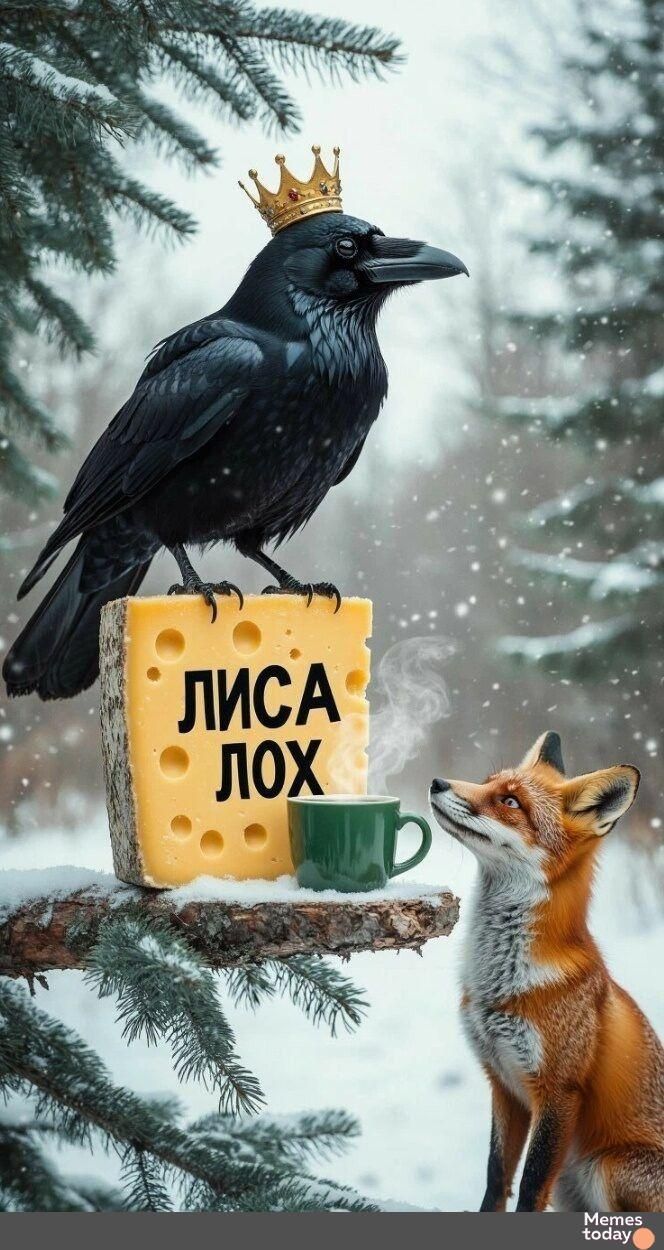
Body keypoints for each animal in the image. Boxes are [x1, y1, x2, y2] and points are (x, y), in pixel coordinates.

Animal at [429, 731, 664, 1213]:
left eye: (511, 802)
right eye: (487, 782)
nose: (437, 782)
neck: (499, 981)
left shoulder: (558, 1092)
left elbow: (531, 1186)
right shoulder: (502, 1082)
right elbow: (497, 1178)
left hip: (604, 1168)